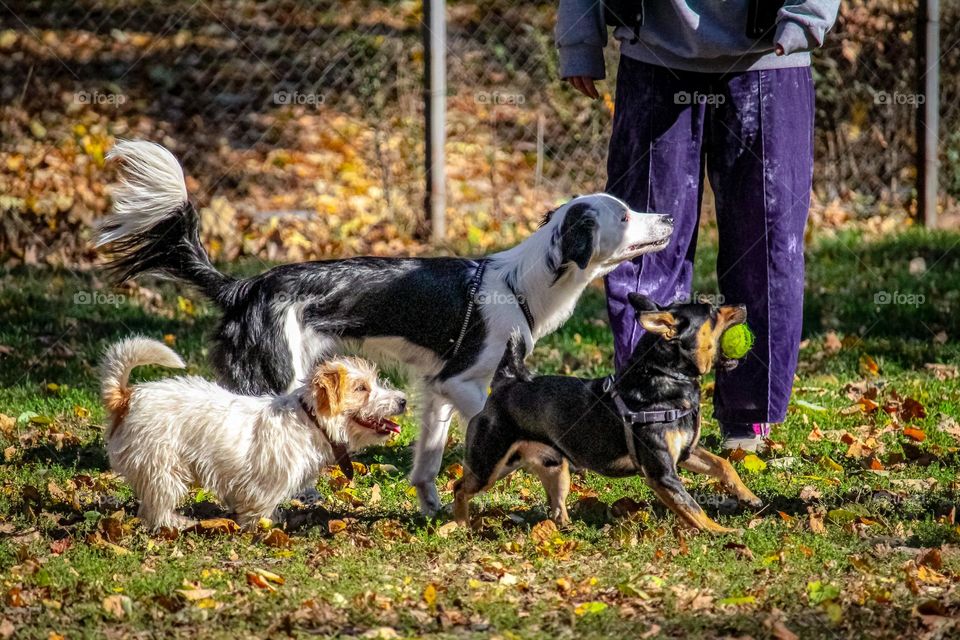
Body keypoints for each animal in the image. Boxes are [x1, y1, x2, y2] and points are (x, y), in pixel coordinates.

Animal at [458, 292, 764, 532]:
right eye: (711, 312)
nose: (744, 304)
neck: (666, 378)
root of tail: (507, 380)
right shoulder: (662, 474)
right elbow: (692, 507)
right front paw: (722, 532)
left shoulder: (686, 454)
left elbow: (723, 465)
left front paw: (748, 496)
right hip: (489, 465)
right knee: (459, 488)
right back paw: (461, 525)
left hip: (553, 467)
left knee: (555, 505)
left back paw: (567, 528)